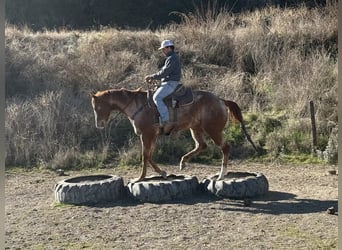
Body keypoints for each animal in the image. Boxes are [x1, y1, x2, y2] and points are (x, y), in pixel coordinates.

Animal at [91, 86, 256, 182]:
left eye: (97, 107)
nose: (99, 124)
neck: (137, 105)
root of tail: (221, 100)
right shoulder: (153, 136)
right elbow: (149, 155)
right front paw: (163, 173)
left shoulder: (146, 135)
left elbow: (145, 156)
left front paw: (140, 178)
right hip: (195, 129)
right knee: (201, 146)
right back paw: (183, 162)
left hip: (213, 130)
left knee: (225, 147)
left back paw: (221, 175)